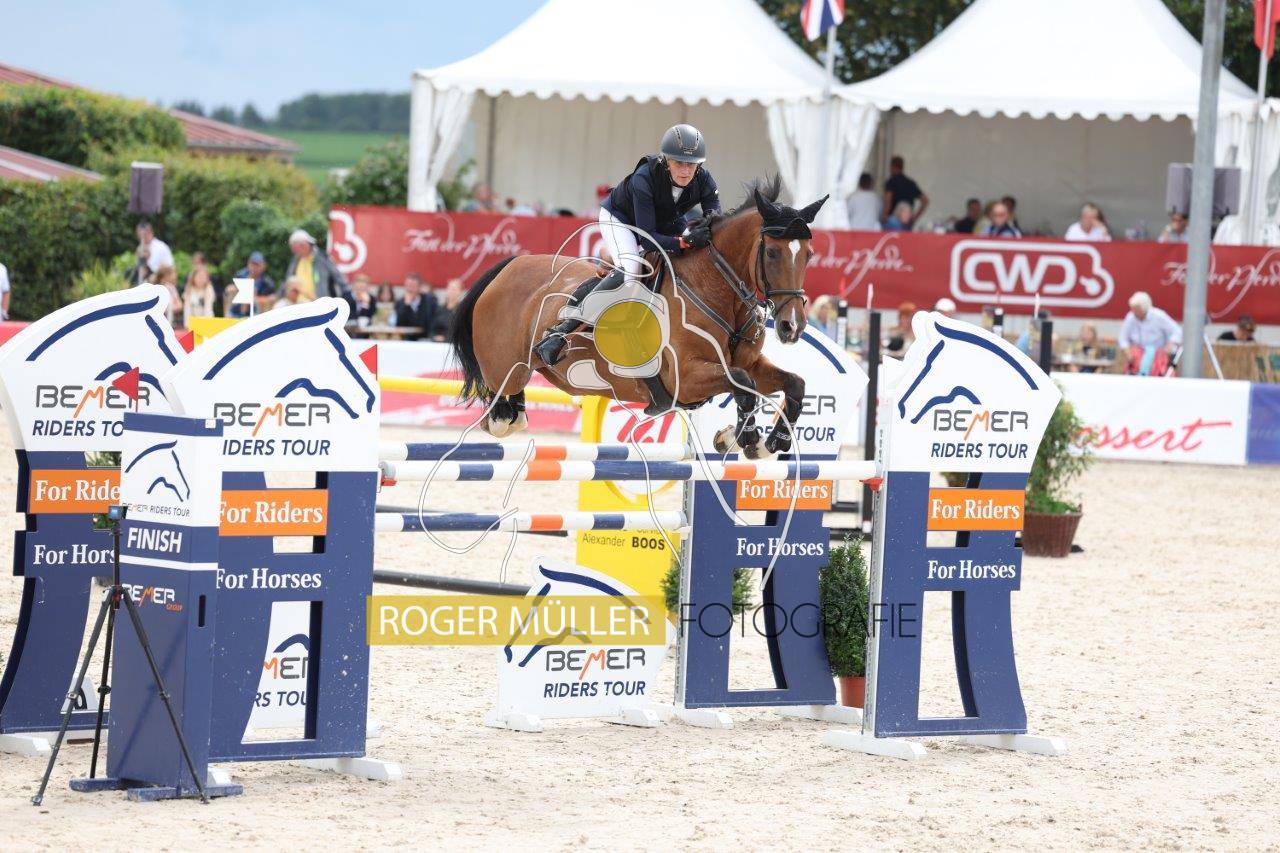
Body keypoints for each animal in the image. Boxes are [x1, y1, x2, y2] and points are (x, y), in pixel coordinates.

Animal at [450, 177, 828, 459]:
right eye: (773, 252)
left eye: (809, 254)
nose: (792, 326)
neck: (717, 292)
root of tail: (509, 266)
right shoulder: (685, 377)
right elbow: (743, 385)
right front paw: (743, 439)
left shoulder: (750, 364)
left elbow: (793, 383)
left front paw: (770, 442)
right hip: (505, 370)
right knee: (500, 412)